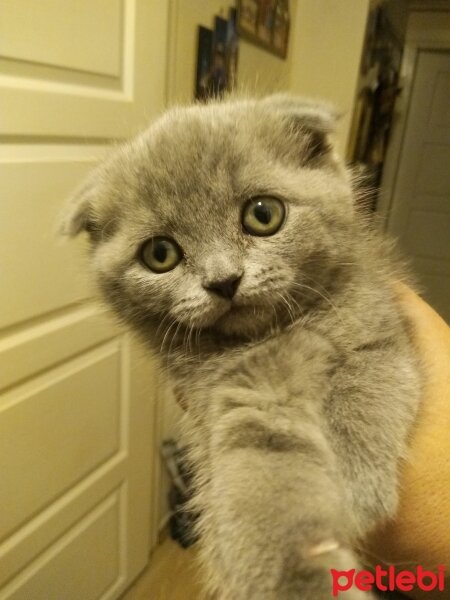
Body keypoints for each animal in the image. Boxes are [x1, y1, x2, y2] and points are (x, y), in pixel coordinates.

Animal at [63, 96, 422, 596]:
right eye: (160, 254)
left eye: (263, 214)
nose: (224, 281)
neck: (274, 334)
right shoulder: (234, 397)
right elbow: (258, 480)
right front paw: (298, 577)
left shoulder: (378, 329)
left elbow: (365, 390)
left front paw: (356, 487)